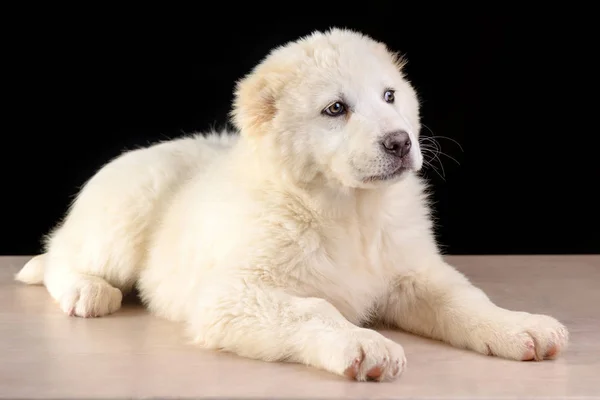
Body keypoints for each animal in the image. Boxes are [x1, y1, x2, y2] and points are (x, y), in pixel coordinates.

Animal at [14, 28, 568, 382]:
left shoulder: (415, 274)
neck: (351, 213)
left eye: (390, 96)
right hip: (123, 217)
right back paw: (87, 291)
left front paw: (519, 326)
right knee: (61, 254)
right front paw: (365, 344)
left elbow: (465, 301)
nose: (400, 142)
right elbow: (315, 310)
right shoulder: (232, 296)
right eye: (336, 109)